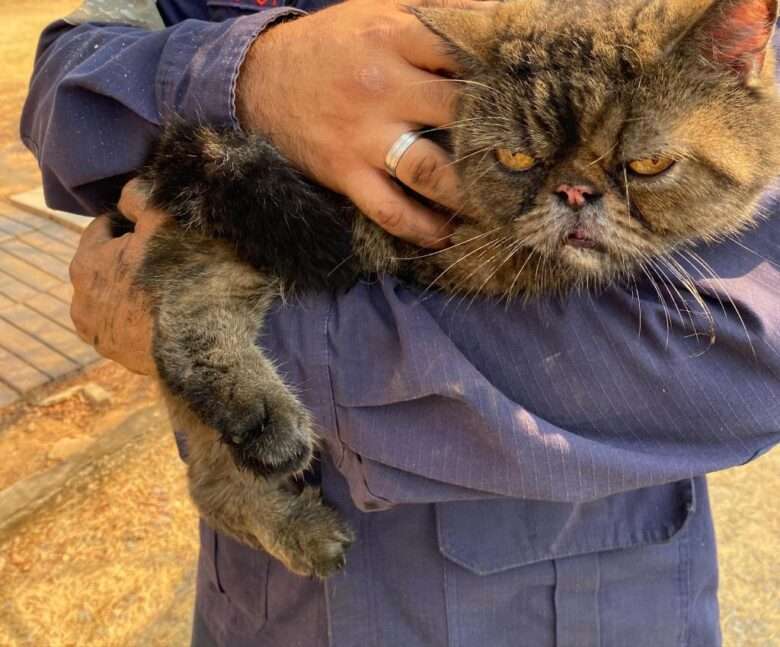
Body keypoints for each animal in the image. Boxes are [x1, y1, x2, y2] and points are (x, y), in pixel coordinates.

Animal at [111, 0, 780, 576]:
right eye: (517, 158)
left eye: (646, 165)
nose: (573, 192)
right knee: (185, 322)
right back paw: (262, 425)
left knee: (208, 478)